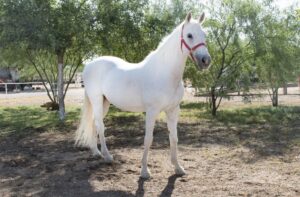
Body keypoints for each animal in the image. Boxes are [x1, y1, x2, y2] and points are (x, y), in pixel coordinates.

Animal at [75, 12, 211, 179]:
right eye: (189, 35)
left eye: (204, 35)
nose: (206, 60)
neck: (164, 73)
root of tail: (89, 65)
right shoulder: (152, 111)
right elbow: (148, 139)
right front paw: (145, 171)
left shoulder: (173, 110)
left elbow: (174, 138)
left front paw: (178, 168)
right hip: (96, 100)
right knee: (100, 126)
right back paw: (107, 156)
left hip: (105, 102)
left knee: (95, 123)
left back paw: (96, 152)